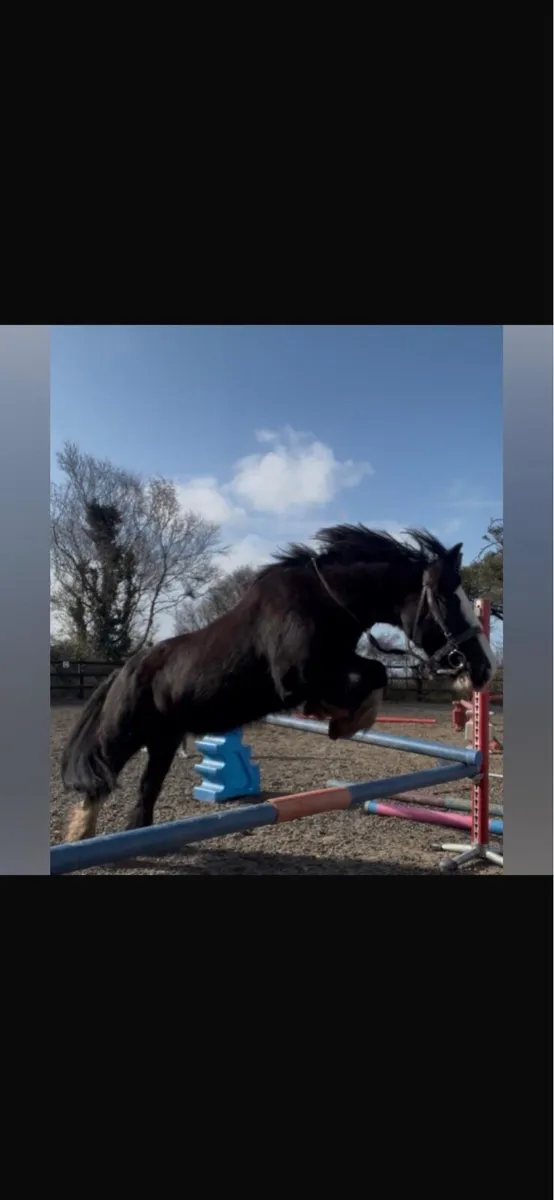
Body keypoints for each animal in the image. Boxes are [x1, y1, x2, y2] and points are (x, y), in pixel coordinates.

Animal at [60, 524, 495, 841]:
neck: (324, 601)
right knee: (99, 776)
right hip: (125, 734)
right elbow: (373, 674)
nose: (484, 669)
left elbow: (375, 672)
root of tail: (123, 670)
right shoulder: (298, 679)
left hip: (164, 742)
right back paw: (80, 833)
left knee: (144, 797)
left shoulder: (336, 662)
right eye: (447, 600)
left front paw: (343, 720)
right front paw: (340, 718)